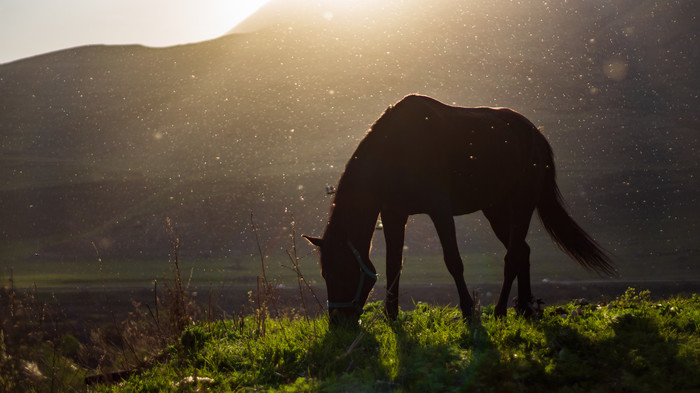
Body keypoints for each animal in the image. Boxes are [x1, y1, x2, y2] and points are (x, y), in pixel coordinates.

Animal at [304, 94, 616, 324]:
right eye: (324, 274)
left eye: (341, 270)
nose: (338, 321)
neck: (396, 148)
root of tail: (535, 135)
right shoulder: (394, 214)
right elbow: (394, 264)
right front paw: (391, 316)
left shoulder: (440, 211)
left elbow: (453, 261)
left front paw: (467, 310)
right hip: (495, 209)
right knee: (523, 251)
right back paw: (524, 308)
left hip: (522, 203)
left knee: (513, 255)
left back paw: (501, 311)